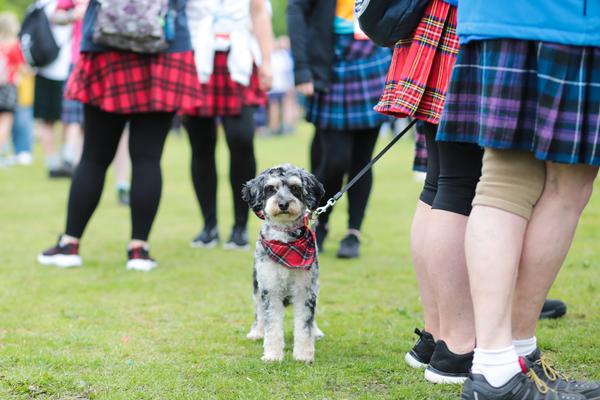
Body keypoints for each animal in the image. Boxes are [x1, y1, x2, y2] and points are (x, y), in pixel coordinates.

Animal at [241, 164, 326, 360]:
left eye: (295, 188)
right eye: (271, 188)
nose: (283, 204)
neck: (285, 244)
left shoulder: (305, 289)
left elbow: (305, 325)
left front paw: (304, 355)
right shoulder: (269, 288)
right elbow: (272, 325)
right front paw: (272, 355)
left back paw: (316, 331)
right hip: (256, 287)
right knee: (259, 312)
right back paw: (257, 332)